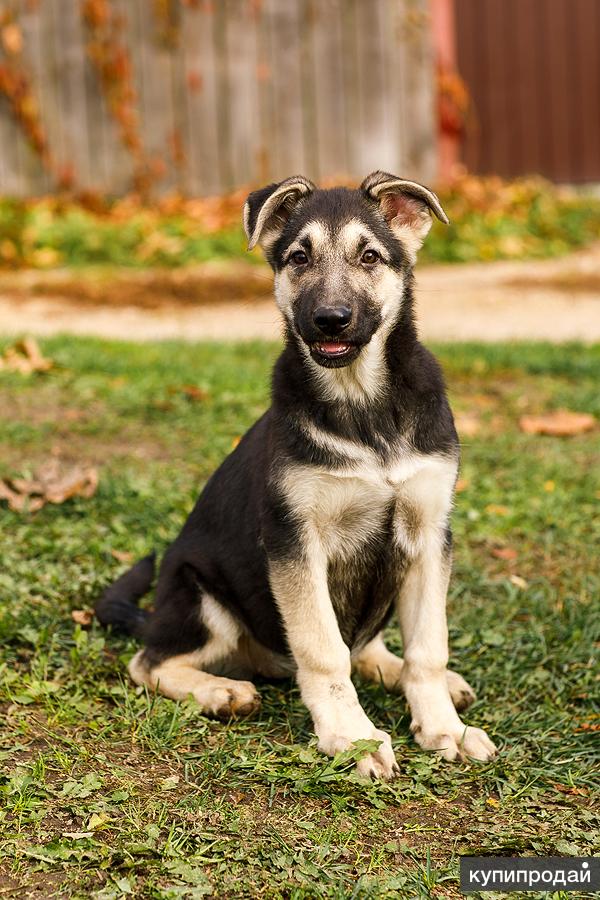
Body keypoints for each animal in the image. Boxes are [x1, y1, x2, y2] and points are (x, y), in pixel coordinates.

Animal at [95, 172, 496, 776]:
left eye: (370, 256)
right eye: (299, 257)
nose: (330, 318)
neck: (363, 404)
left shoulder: (429, 534)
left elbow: (428, 645)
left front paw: (443, 725)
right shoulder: (295, 540)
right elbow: (323, 650)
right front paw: (353, 738)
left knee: (369, 645)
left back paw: (402, 671)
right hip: (200, 595)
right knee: (149, 661)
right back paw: (219, 691)